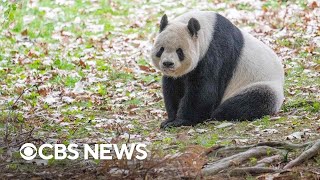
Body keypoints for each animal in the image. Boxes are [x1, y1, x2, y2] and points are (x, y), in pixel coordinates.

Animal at [151, 10, 284, 129]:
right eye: (161, 49)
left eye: (179, 51)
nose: (168, 63)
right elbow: (174, 88)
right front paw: (170, 119)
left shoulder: (214, 53)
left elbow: (203, 91)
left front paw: (181, 121)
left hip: (261, 84)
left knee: (252, 101)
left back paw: (218, 113)